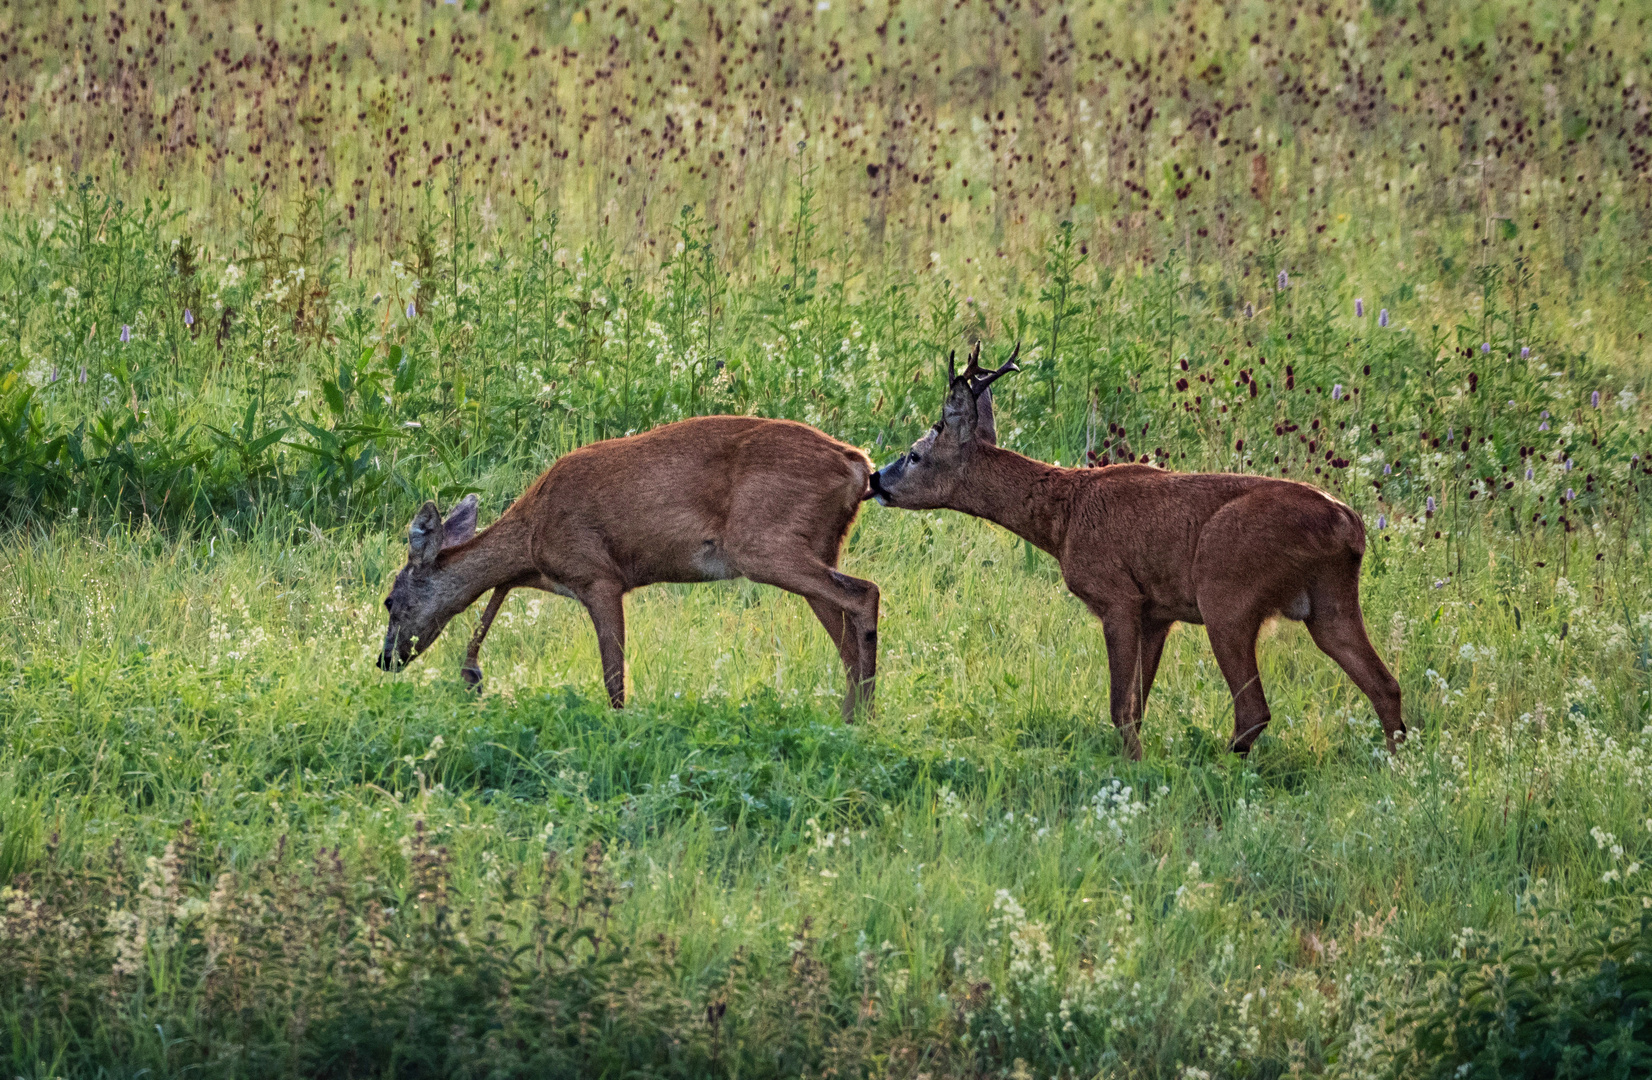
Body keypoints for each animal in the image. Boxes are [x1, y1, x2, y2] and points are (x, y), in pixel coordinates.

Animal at [379, 419, 885, 723]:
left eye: (388, 600)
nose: (385, 660)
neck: (533, 532)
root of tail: (859, 464)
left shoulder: (597, 575)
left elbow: (613, 674)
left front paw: (618, 726)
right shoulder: (546, 574)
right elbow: (499, 589)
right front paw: (472, 674)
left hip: (764, 545)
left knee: (865, 593)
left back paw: (863, 716)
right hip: (820, 545)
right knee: (846, 629)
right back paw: (852, 717)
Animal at [872, 346, 1400, 762]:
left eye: (915, 454)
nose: (876, 479)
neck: (1063, 518)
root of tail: (1348, 524)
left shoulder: (1118, 596)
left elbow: (1118, 705)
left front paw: (1134, 765)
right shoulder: (1157, 612)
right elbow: (1138, 705)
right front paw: (1135, 759)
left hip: (1226, 593)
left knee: (1254, 709)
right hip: (1329, 602)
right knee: (1385, 684)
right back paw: (1397, 765)